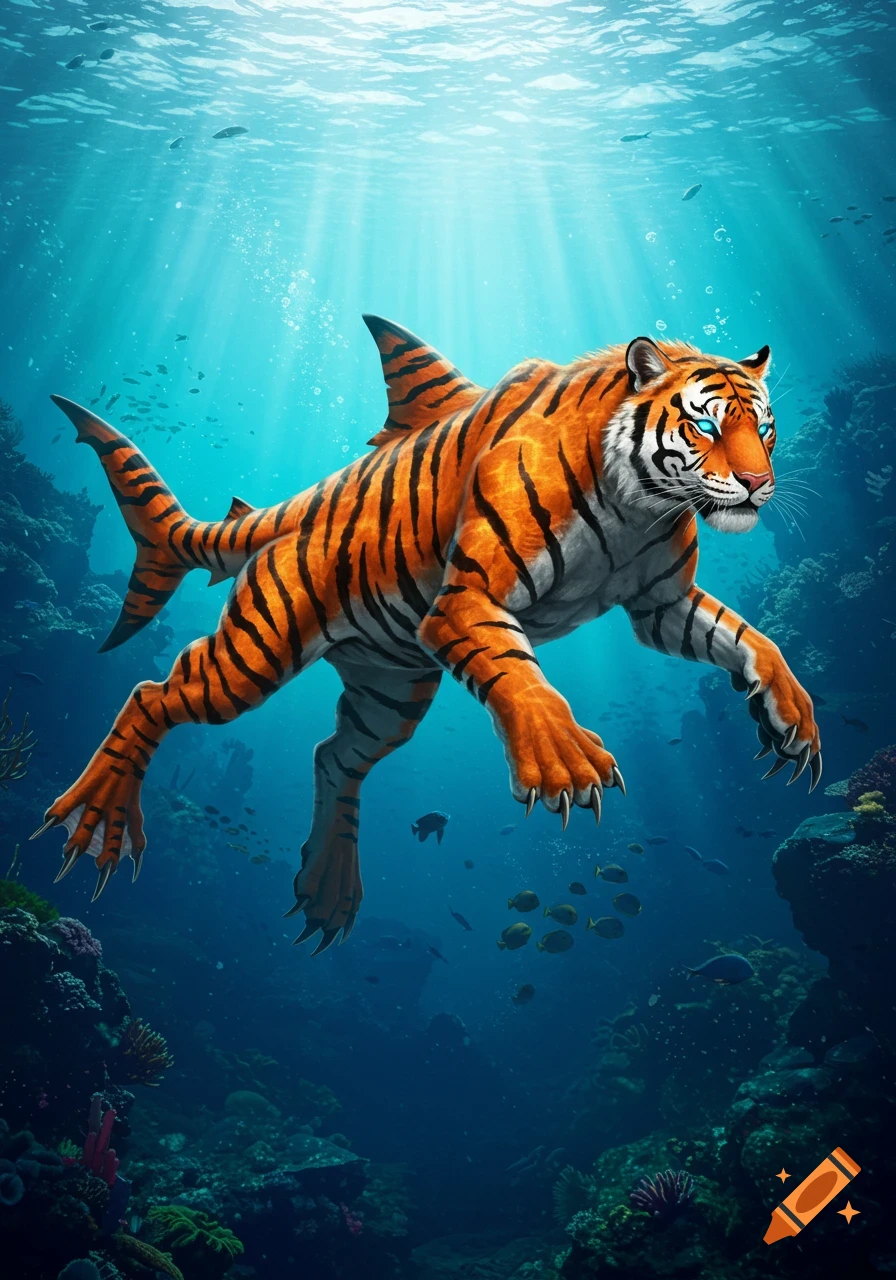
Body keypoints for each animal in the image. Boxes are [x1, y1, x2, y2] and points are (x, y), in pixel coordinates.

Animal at [33, 316, 821, 953]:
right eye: (707, 425)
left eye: (765, 427)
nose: (759, 484)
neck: (642, 506)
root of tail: (278, 511)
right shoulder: (466, 601)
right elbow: (523, 679)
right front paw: (565, 762)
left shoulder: (662, 605)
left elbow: (752, 638)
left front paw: (793, 721)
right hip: (258, 649)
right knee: (153, 692)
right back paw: (99, 817)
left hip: (392, 687)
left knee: (334, 755)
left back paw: (328, 889)